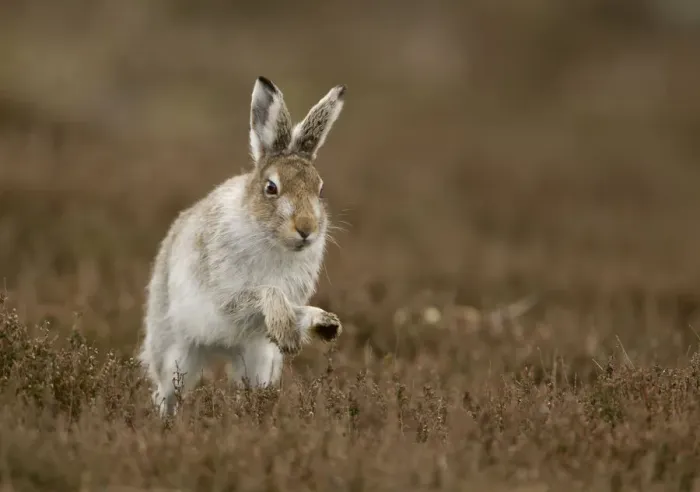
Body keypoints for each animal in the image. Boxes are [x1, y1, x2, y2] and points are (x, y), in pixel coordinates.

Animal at [138, 76, 347, 417]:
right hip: (175, 351)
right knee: (167, 392)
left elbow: (292, 309)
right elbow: (261, 293)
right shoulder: (228, 294)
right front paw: (289, 327)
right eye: (271, 188)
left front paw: (323, 324)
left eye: (320, 189)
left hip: (258, 359)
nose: (306, 229)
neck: (271, 239)